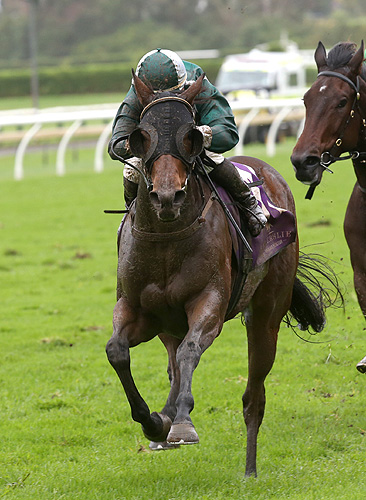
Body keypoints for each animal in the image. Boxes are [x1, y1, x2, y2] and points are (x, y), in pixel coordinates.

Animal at [106, 71, 332, 476]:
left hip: (267, 312)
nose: (168, 197)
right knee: (172, 363)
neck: (167, 235)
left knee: (253, 393)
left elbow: (192, 350)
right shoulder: (138, 309)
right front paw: (155, 422)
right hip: (168, 324)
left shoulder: (208, 302)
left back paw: (250, 469)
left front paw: (181, 424)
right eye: (142, 137)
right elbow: (117, 351)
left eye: (191, 136)